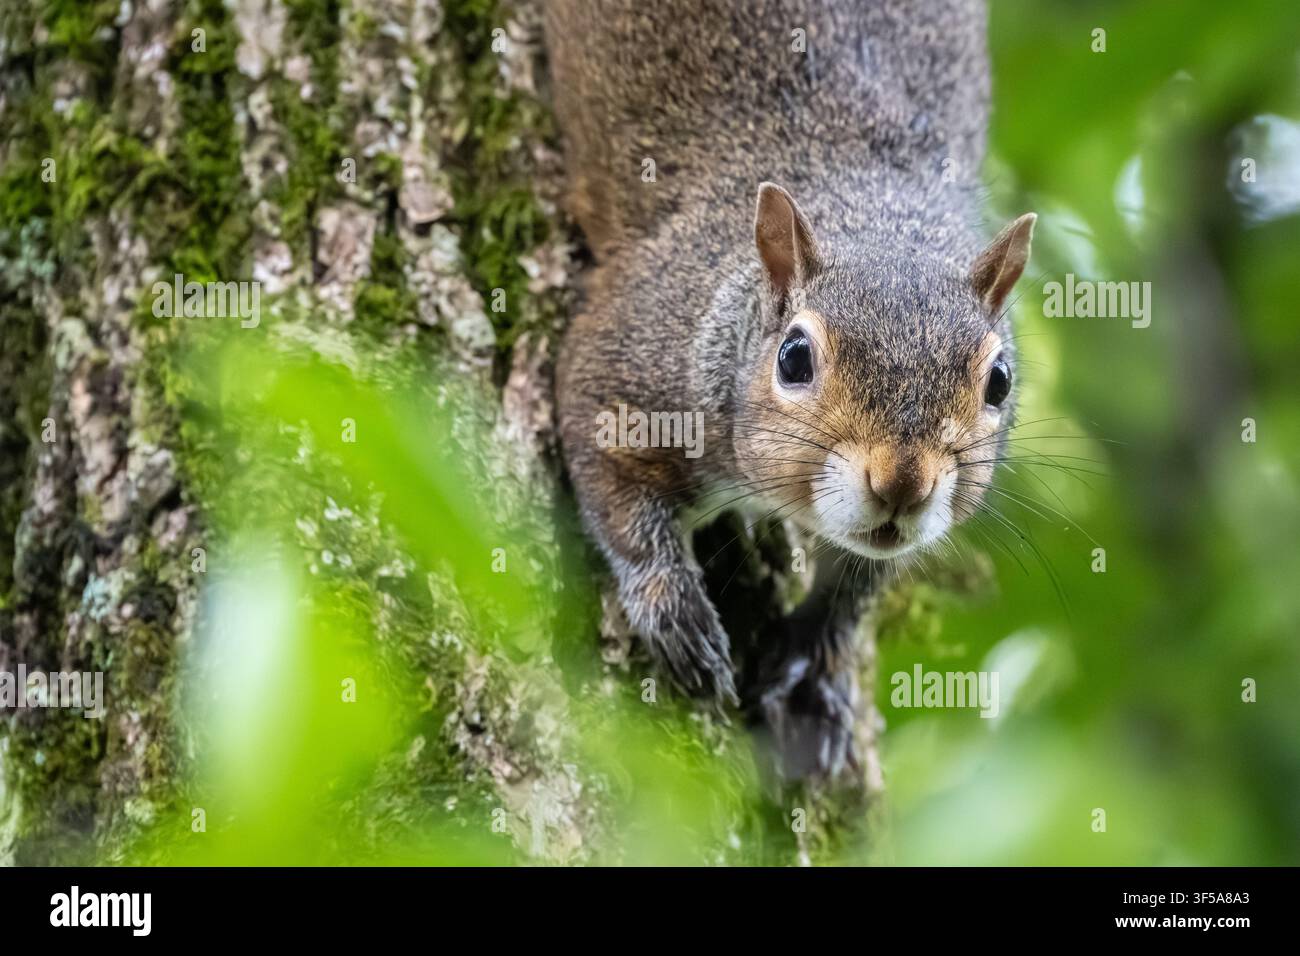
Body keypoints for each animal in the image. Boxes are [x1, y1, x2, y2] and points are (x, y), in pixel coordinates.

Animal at [544, 0, 1036, 779]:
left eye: (1000, 380)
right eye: (795, 357)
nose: (902, 486)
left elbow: (855, 588)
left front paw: (810, 672)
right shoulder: (630, 358)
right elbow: (614, 487)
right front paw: (672, 606)